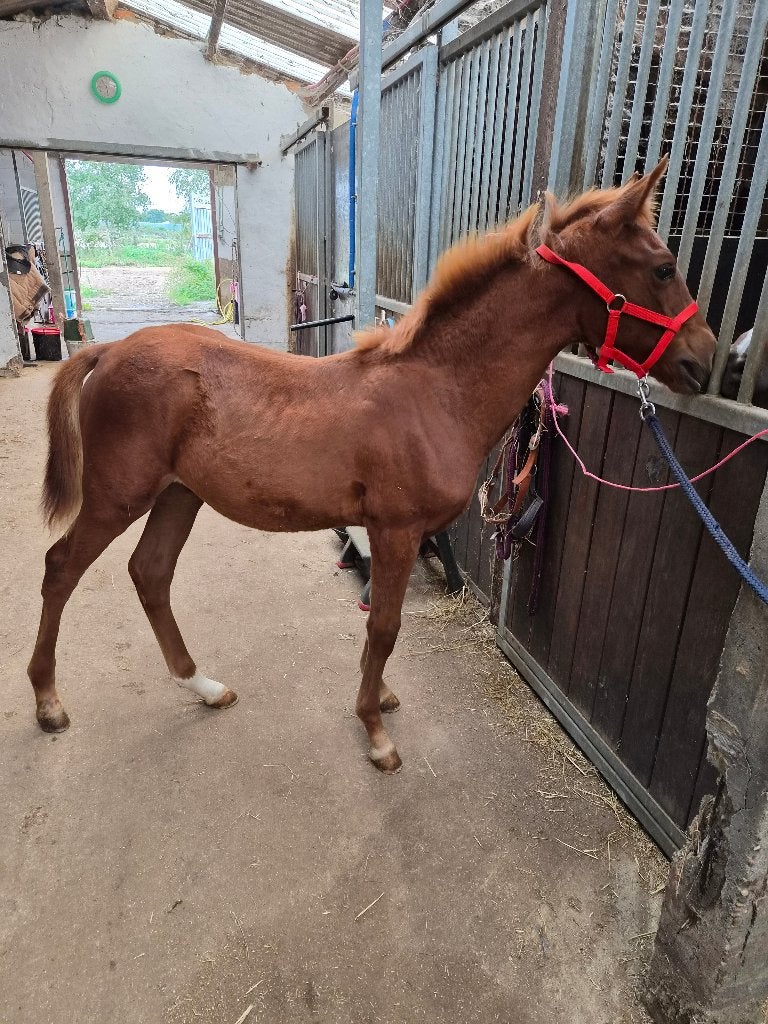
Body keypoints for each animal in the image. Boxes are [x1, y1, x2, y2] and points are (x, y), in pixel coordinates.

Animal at [28, 160, 716, 773]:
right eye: (663, 267)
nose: (705, 362)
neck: (436, 390)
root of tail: (111, 348)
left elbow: (381, 629)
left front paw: (378, 695)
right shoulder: (396, 529)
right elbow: (384, 627)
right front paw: (376, 732)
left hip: (179, 494)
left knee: (150, 573)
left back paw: (205, 686)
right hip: (120, 495)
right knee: (61, 568)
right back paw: (48, 703)